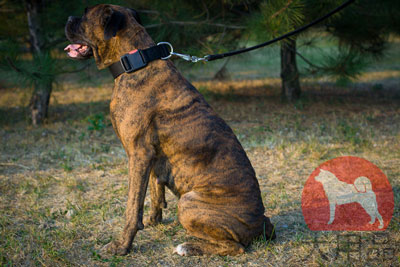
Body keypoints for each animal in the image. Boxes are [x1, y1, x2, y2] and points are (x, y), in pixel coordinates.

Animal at [64, 3, 276, 256]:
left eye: (86, 14)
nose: (68, 17)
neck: (136, 62)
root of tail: (262, 222)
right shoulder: (151, 156)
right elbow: (155, 189)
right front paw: (153, 220)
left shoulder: (138, 154)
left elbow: (132, 206)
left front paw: (122, 245)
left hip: (189, 202)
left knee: (236, 247)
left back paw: (189, 247)